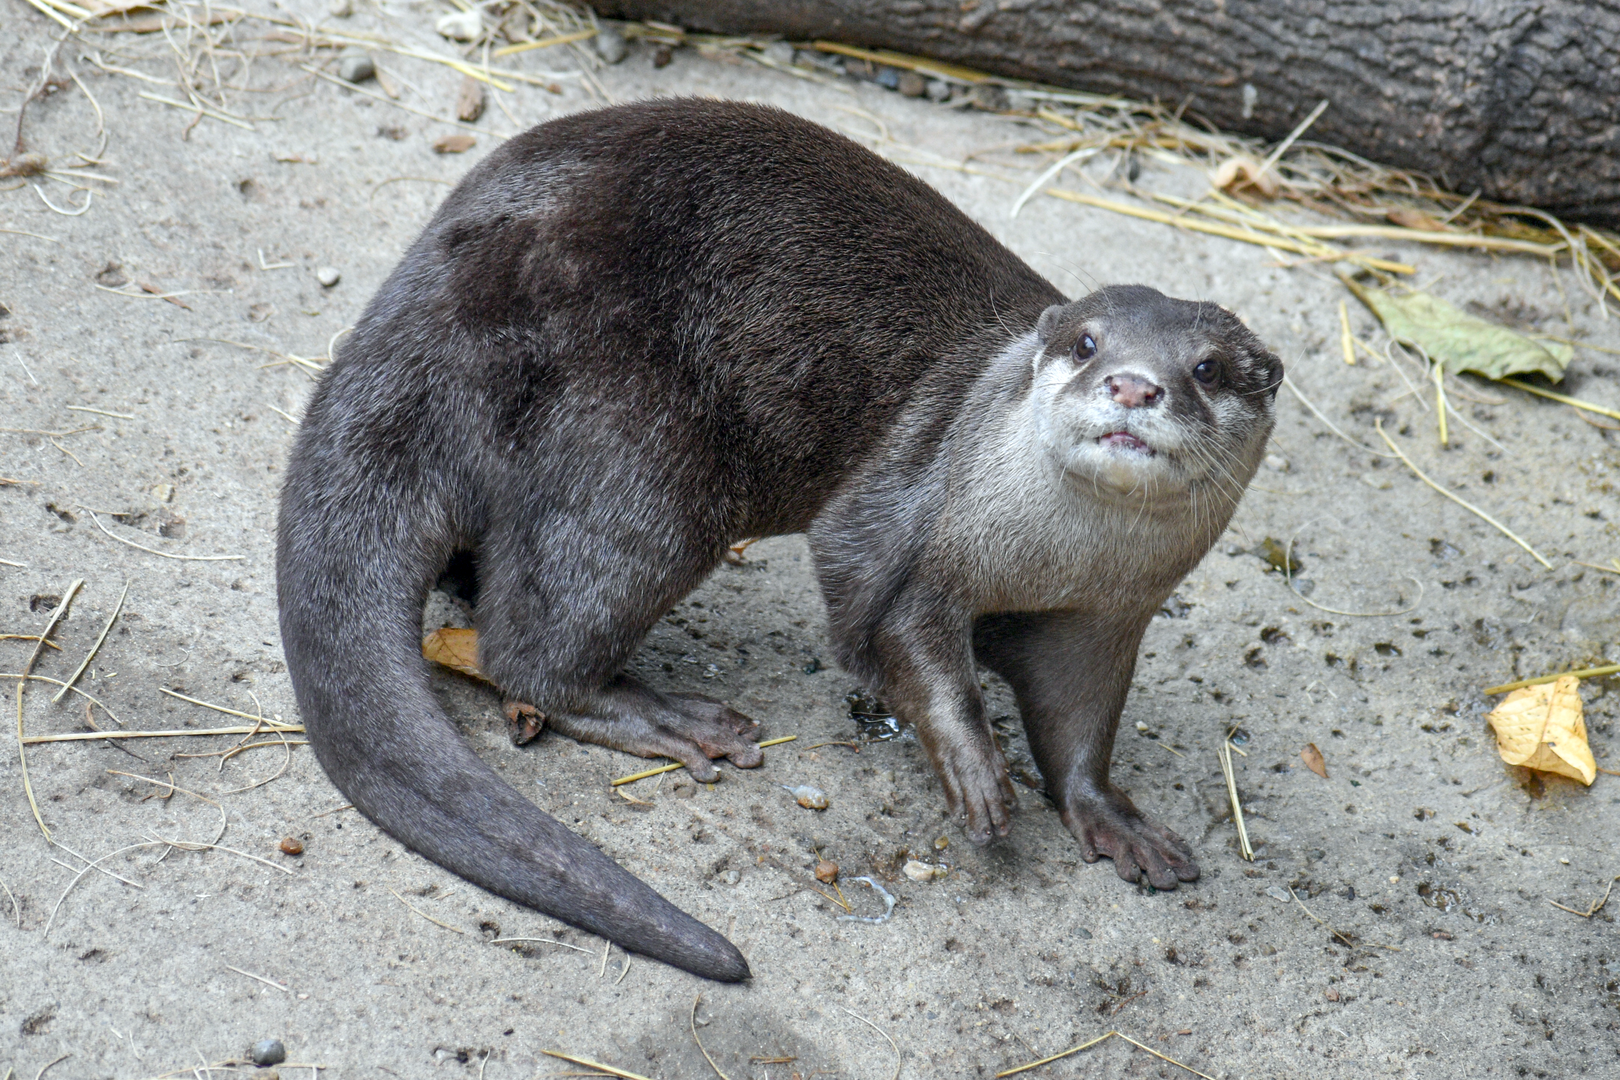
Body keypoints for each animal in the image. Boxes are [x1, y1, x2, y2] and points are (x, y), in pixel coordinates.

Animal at [277, 99, 1282, 983]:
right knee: (531, 642)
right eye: (1086, 342)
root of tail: (435, 294)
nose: (1134, 385)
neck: (1051, 558)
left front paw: (1112, 818)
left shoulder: (1104, 619)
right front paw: (974, 768)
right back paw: (668, 718)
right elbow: (892, 630)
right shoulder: (904, 520)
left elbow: (1078, 725)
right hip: (638, 451)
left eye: (1206, 369)